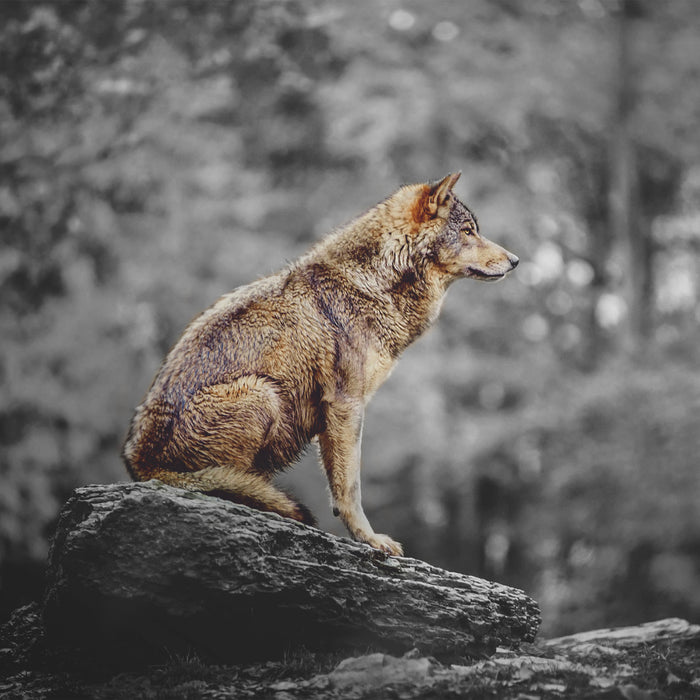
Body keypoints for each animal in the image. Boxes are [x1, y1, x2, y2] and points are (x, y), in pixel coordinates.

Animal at [120, 172, 516, 556]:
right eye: (468, 231)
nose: (515, 261)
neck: (373, 284)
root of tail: (139, 461)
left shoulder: (334, 415)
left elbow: (341, 485)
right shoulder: (346, 405)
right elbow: (350, 487)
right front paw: (370, 539)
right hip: (263, 394)